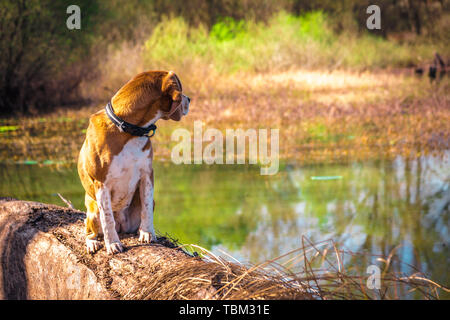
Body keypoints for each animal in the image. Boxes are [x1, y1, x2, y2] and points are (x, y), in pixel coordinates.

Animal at [78, 71, 190, 254]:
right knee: (89, 230)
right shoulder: (101, 183)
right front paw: (112, 243)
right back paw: (92, 242)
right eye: (181, 88)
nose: (189, 99)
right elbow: (107, 218)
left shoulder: (147, 174)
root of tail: (122, 226)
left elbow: (147, 206)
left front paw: (147, 232)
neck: (128, 129)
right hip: (92, 211)